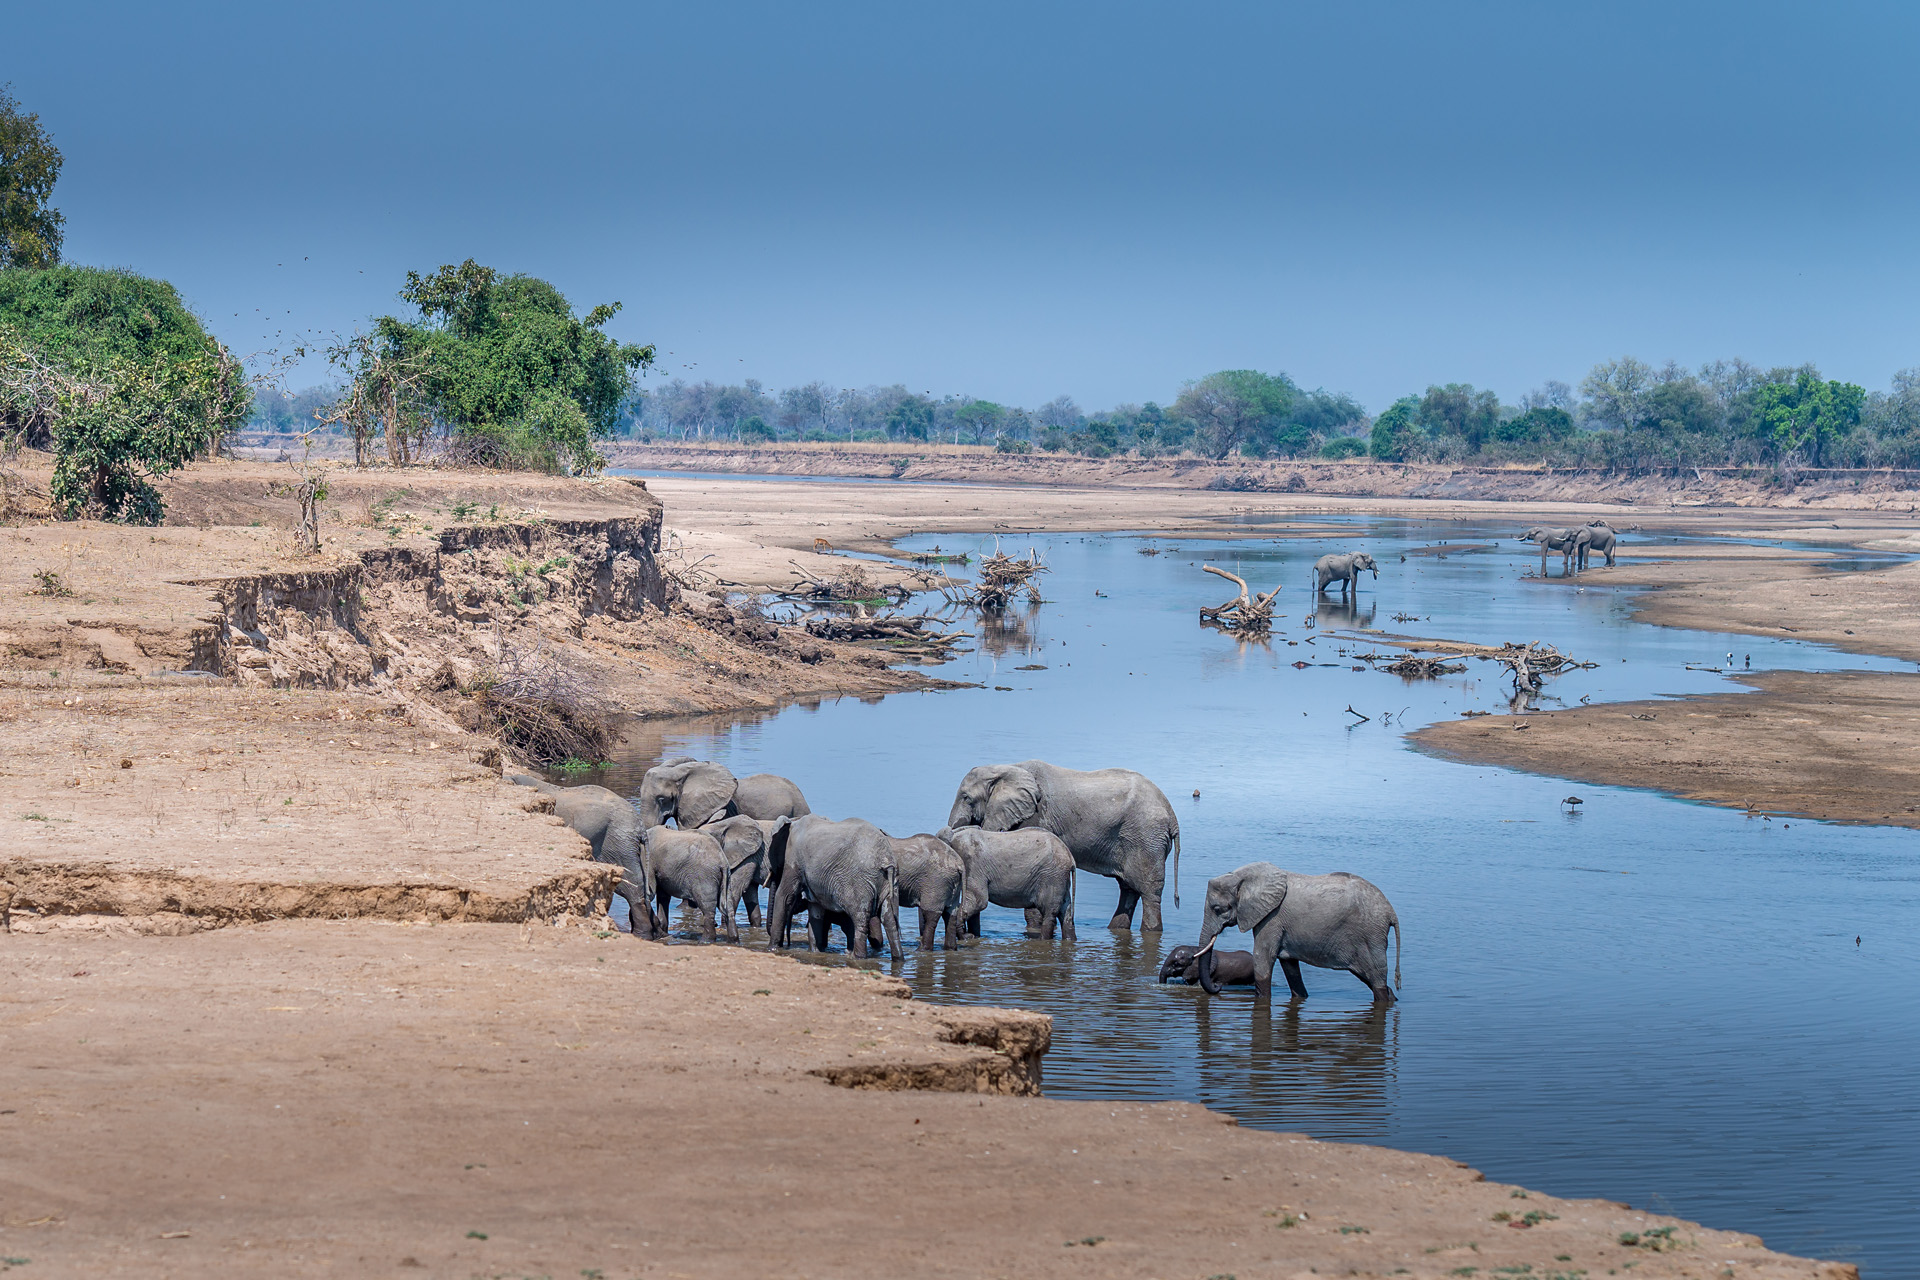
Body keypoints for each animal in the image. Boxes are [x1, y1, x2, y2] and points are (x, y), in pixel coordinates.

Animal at [768, 821, 902, 959]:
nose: (788, 944)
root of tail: (886, 859)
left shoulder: (793, 858)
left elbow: (784, 896)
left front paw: (772, 948)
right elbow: (815, 910)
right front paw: (815, 952)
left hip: (860, 881)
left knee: (860, 920)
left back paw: (855, 957)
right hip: (891, 881)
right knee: (890, 920)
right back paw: (898, 958)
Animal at [940, 832, 1082, 940]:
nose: (968, 936)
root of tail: (1070, 857)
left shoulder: (973, 866)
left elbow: (978, 902)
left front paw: (966, 937)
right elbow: (976, 905)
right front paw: (974, 936)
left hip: (1052, 876)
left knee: (1049, 912)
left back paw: (1043, 940)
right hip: (1059, 879)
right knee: (1066, 913)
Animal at [948, 759, 1182, 932]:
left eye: (966, 798)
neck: (1006, 768)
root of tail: (1172, 815)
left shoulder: (1036, 814)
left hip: (1146, 837)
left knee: (1149, 891)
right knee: (1128, 888)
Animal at [1190, 867, 1405, 1005]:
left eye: (1218, 909)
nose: (1218, 986)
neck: (1244, 876)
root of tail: (1391, 912)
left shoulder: (1271, 918)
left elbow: (1263, 958)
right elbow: (1289, 964)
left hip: (1370, 936)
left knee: (1376, 980)